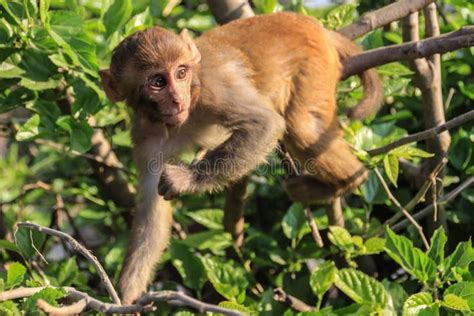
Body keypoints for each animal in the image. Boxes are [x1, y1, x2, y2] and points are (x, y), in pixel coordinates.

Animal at [99, 12, 382, 304]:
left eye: (181, 73)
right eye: (158, 82)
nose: (177, 100)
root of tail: (312, 25)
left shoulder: (214, 88)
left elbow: (265, 124)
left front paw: (186, 180)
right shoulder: (145, 136)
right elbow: (150, 208)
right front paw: (125, 296)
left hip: (314, 67)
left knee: (302, 127)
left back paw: (348, 181)